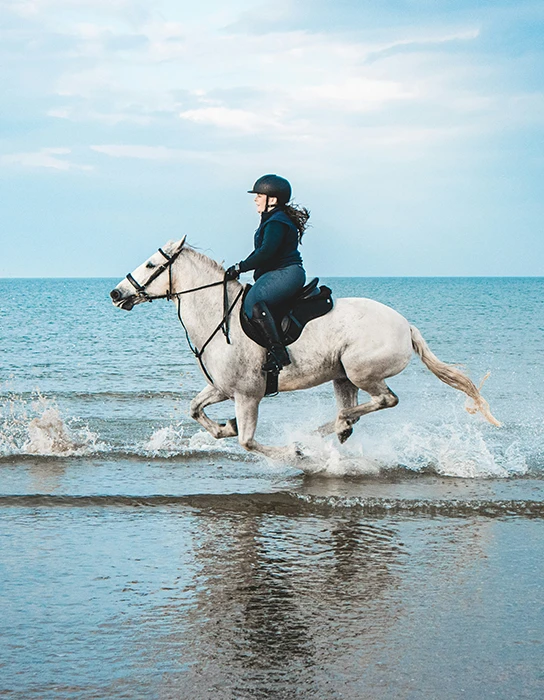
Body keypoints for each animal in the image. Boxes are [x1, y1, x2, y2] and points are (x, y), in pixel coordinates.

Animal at [110, 237, 500, 461]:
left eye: (151, 264)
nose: (116, 293)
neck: (219, 317)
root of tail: (406, 326)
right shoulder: (221, 388)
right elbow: (195, 410)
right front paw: (225, 427)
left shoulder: (248, 395)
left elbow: (248, 442)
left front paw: (292, 451)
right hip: (343, 377)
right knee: (357, 410)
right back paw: (334, 429)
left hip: (360, 370)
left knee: (386, 400)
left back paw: (322, 431)